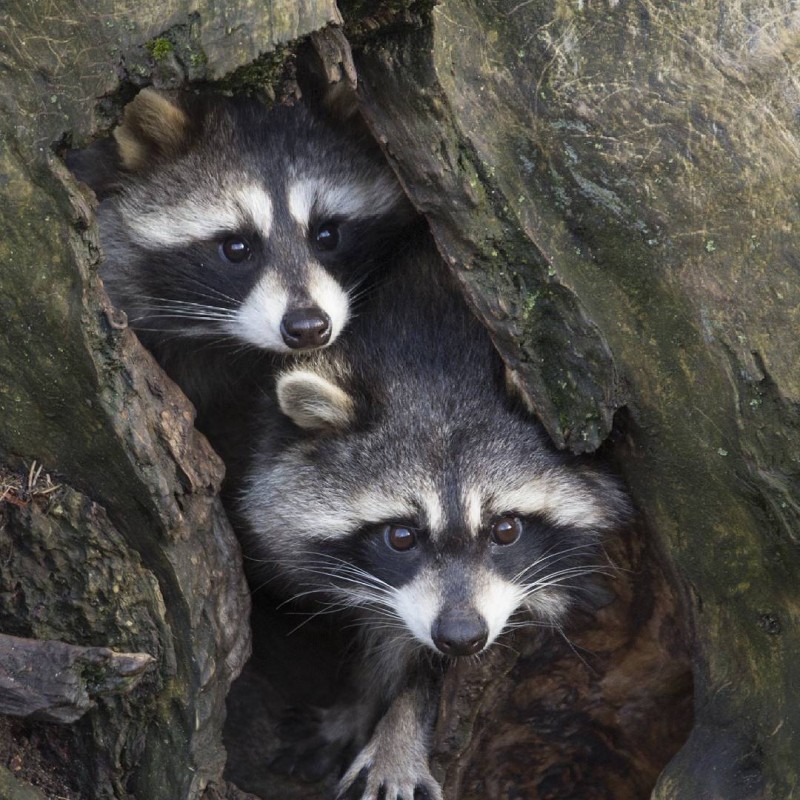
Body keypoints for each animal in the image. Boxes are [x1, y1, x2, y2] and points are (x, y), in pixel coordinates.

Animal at [238, 234, 632, 796]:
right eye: (401, 537)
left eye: (505, 530)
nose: (462, 636)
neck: (432, 354)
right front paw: (361, 701)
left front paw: (400, 725)